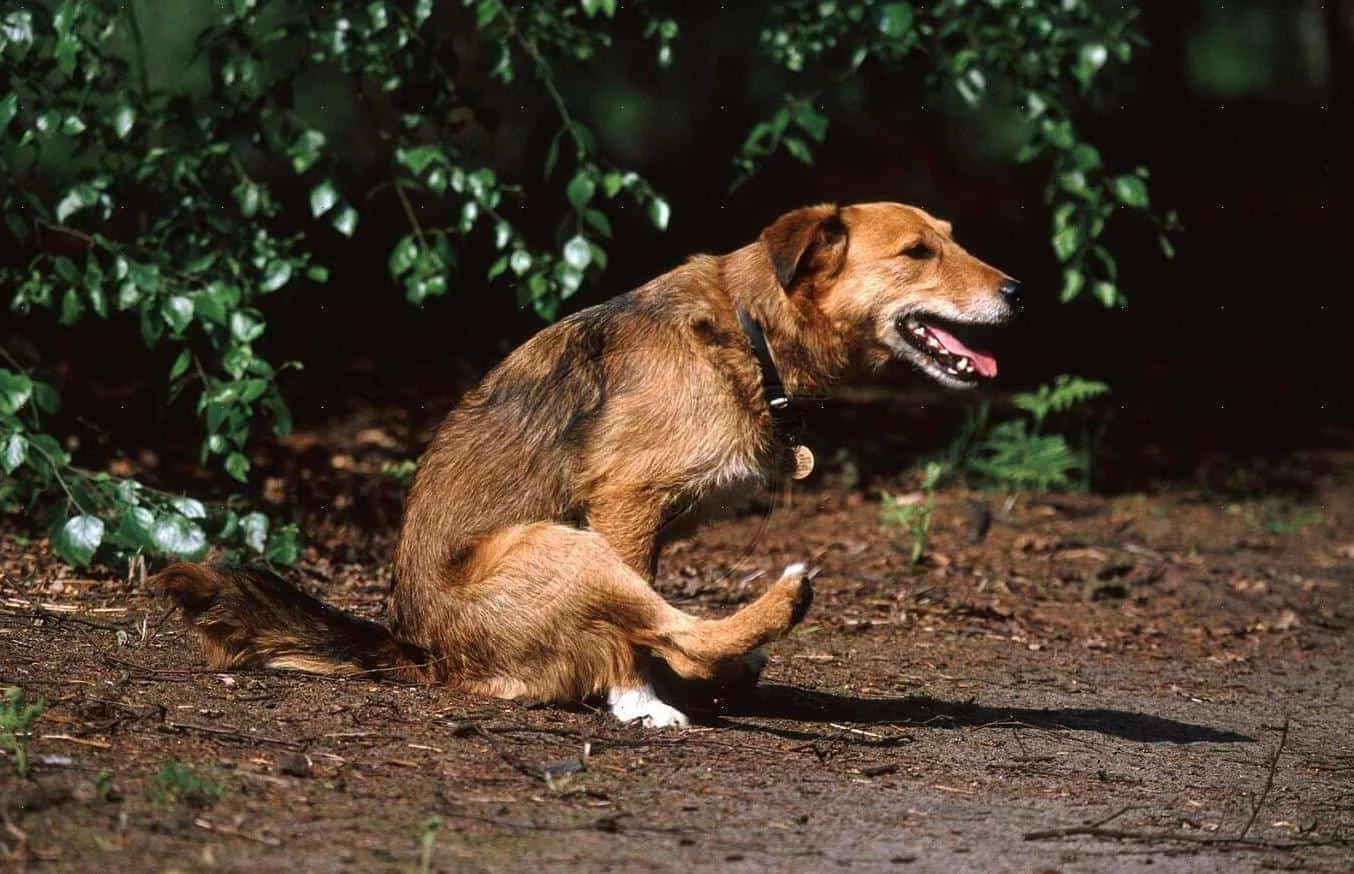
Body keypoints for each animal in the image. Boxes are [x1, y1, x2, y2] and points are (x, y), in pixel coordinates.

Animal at [153, 200, 1018, 726]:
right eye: (918, 252)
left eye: (951, 237)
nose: (1017, 289)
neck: (749, 331)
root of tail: (422, 654)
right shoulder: (626, 505)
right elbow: (644, 634)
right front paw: (638, 700)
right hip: (560, 544)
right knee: (668, 626)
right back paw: (756, 625)